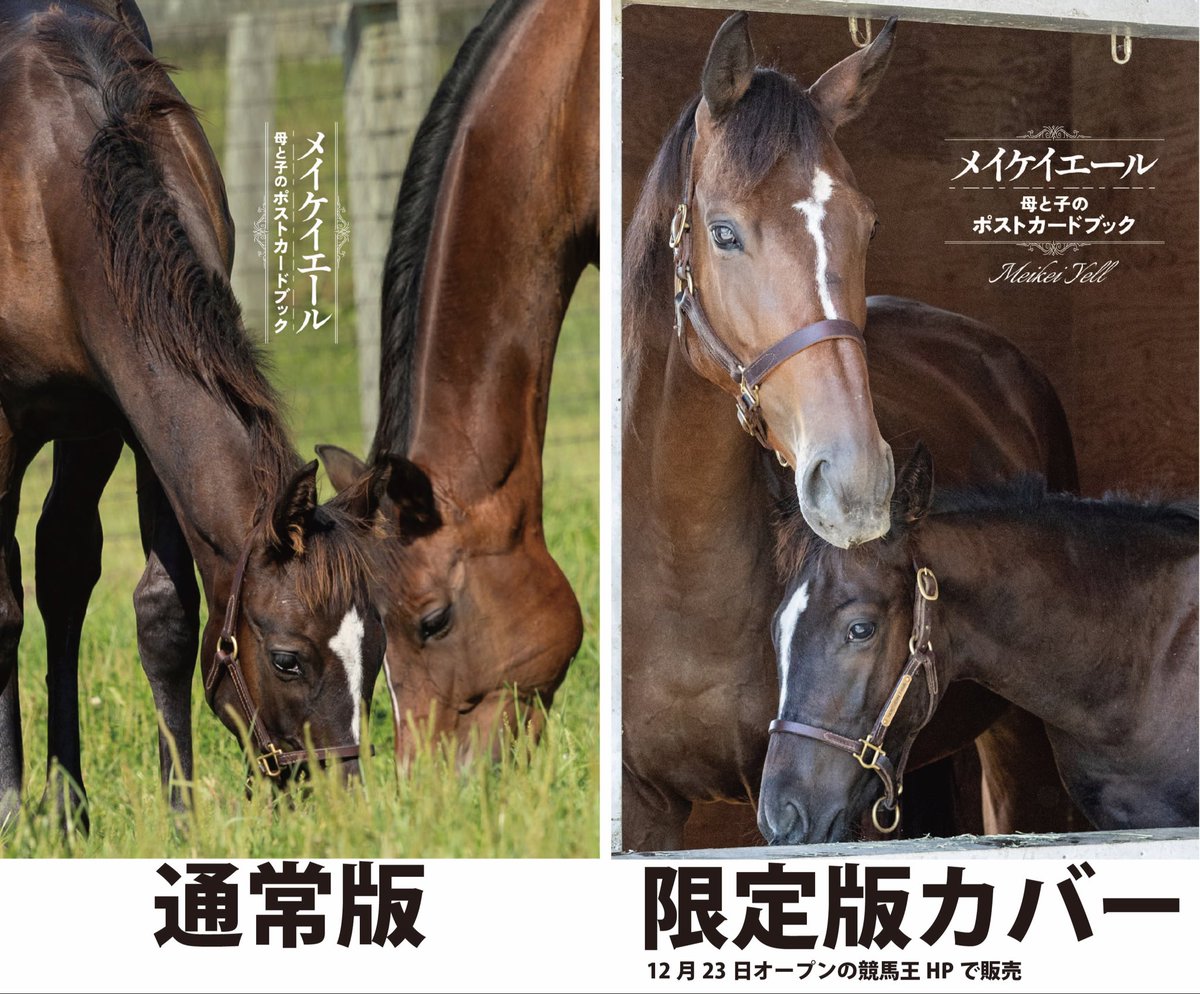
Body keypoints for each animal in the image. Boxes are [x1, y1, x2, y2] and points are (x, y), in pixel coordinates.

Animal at [0, 0, 403, 830]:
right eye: (287, 658)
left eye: (376, 651)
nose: (339, 796)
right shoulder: (2, 420)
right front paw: (7, 805)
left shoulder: (131, 420)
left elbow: (167, 614)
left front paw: (180, 813)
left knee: (59, 567)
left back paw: (70, 807)